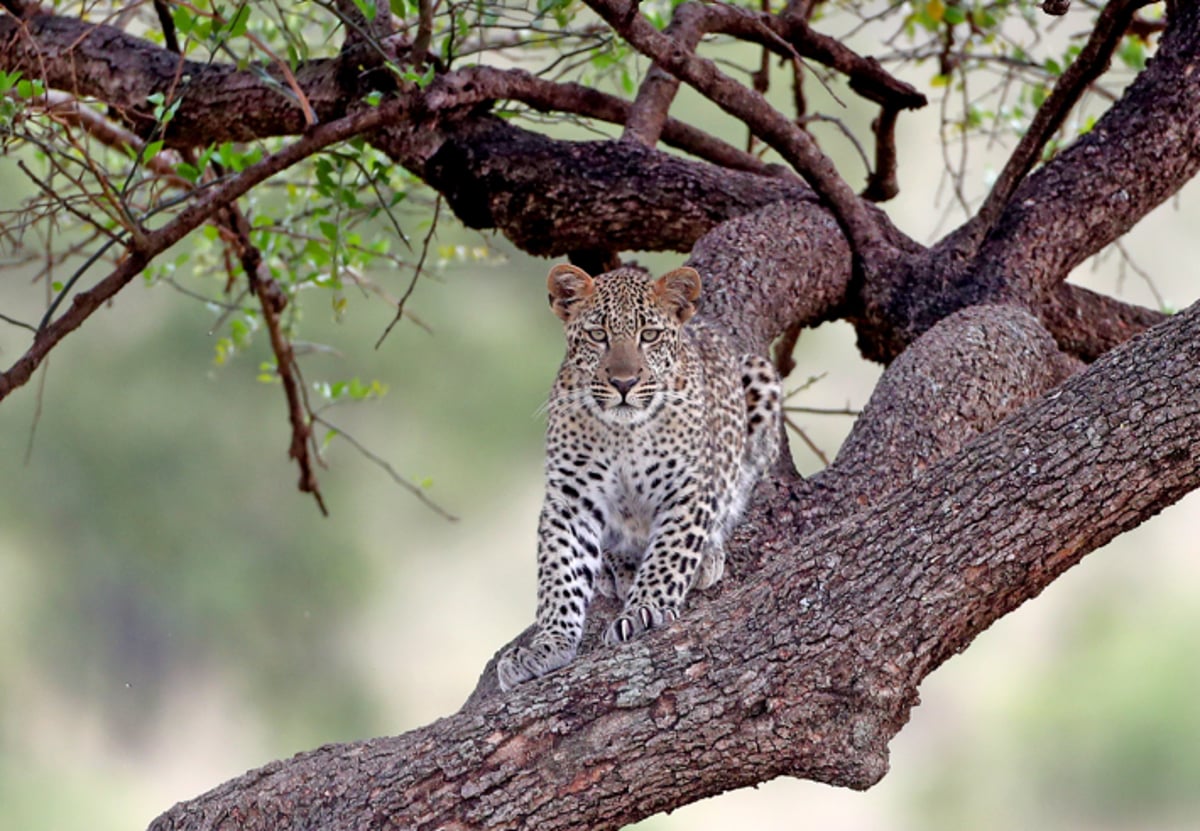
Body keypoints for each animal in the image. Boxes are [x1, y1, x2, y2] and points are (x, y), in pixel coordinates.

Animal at [494, 264, 782, 686]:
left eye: (649, 336)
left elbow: (669, 556)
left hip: (760, 379)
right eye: (598, 335)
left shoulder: (689, 488)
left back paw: (706, 555)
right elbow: (560, 575)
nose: (624, 383)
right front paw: (546, 645)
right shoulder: (571, 499)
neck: (624, 432)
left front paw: (644, 613)